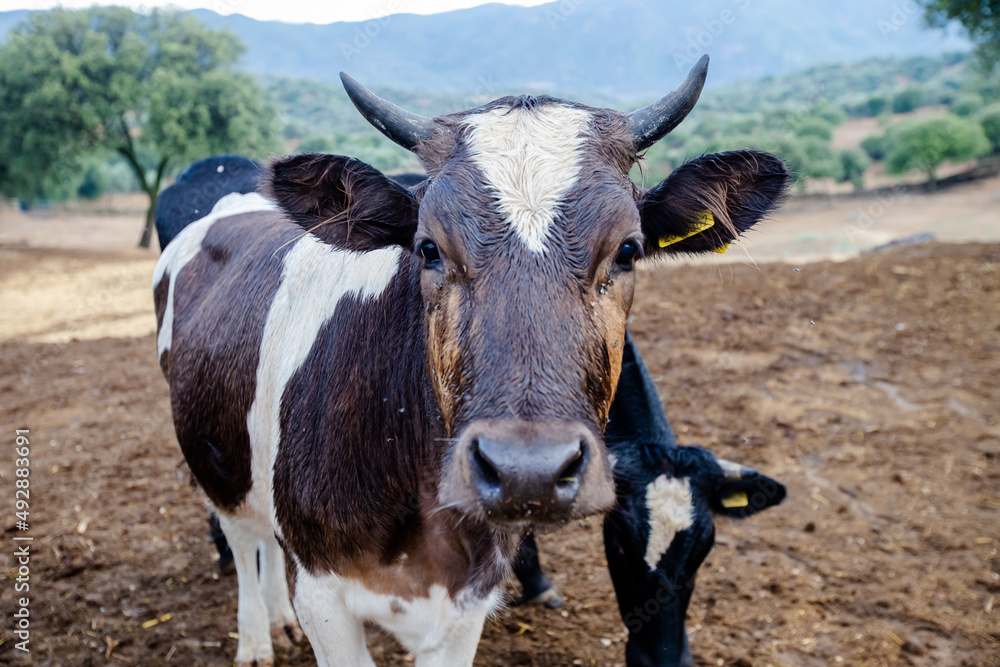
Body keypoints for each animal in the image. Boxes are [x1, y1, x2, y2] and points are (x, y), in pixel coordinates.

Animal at [150, 57, 788, 667]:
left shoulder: (466, 603)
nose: (527, 470)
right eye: (428, 248)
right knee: (242, 534)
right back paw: (257, 637)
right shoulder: (324, 594)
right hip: (214, 453)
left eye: (629, 250)